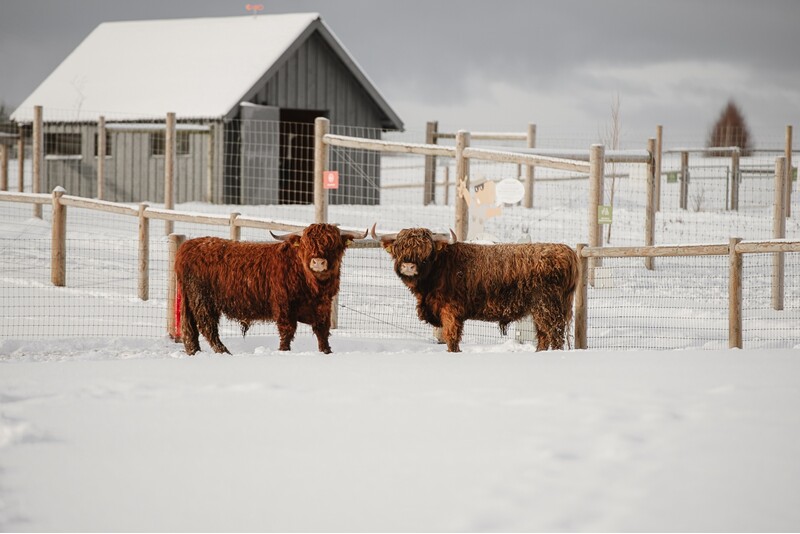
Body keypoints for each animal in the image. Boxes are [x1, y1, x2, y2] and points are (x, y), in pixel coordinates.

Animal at [177, 224, 368, 358]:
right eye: (306, 244)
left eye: (333, 244)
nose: (318, 262)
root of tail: (189, 245)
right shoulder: (284, 308)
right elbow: (287, 332)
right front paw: (283, 352)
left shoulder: (323, 308)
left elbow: (323, 332)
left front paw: (326, 352)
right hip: (203, 300)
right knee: (207, 327)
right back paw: (225, 353)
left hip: (191, 300)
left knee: (190, 330)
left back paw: (195, 353)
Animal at [372, 227, 580, 356]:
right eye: (399, 248)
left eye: (426, 251)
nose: (408, 266)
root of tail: (566, 251)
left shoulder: (451, 312)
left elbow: (452, 338)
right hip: (541, 310)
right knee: (543, 336)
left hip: (547, 307)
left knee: (555, 335)